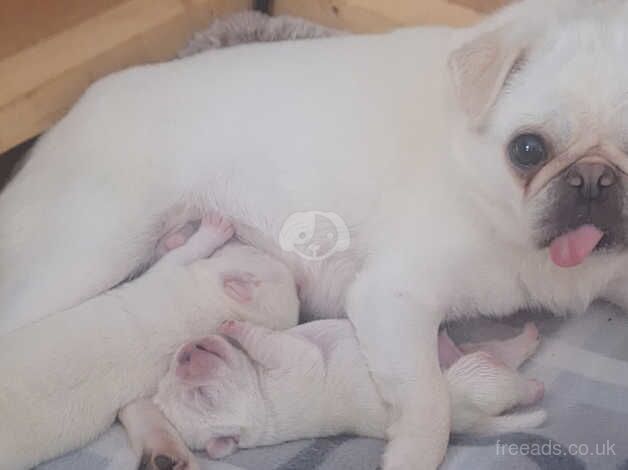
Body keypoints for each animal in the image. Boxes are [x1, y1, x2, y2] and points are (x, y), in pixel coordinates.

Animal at [155, 320, 548, 458]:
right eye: (204, 398)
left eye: (169, 375)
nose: (184, 355)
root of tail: (469, 425)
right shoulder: (292, 361)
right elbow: (269, 340)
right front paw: (235, 325)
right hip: (473, 379)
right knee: (506, 379)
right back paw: (534, 386)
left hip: (471, 354)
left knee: (502, 350)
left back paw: (527, 335)